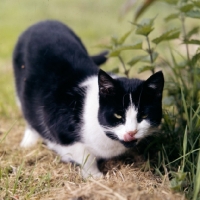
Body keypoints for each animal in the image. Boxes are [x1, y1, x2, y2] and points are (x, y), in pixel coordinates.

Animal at [13, 19, 165, 178]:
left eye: (144, 115)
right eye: (118, 115)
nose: (131, 132)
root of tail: (43, 21)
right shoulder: (59, 124)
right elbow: (84, 155)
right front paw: (94, 176)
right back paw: (28, 142)